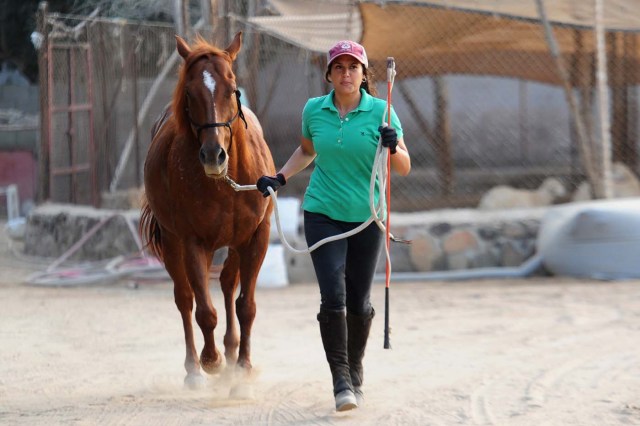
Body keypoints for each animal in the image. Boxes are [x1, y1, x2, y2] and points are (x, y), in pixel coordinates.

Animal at [140, 32, 276, 392]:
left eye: (233, 88)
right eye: (189, 92)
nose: (214, 155)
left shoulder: (256, 237)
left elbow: (246, 305)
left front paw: (242, 366)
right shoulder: (192, 242)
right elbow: (204, 311)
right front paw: (210, 360)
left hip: (233, 244)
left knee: (228, 284)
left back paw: (231, 349)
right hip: (174, 242)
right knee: (185, 298)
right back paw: (195, 367)